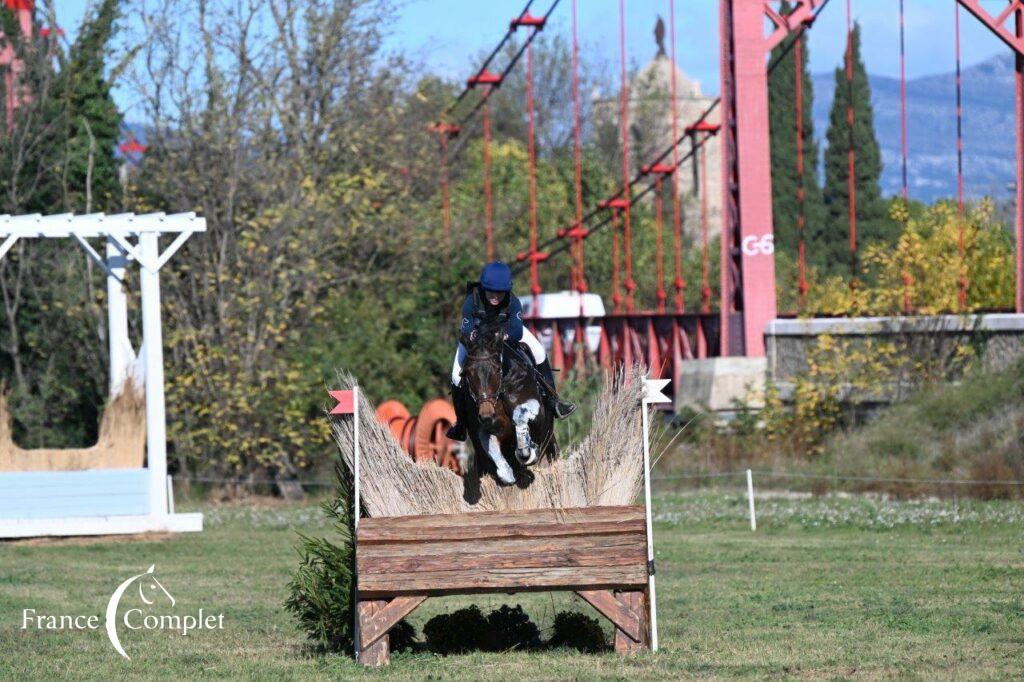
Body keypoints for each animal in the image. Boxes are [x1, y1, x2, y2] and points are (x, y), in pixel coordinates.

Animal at [458, 319, 561, 499]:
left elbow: (523, 419)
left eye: (496, 369)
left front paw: (526, 452)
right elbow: (490, 443)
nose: (486, 415)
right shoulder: (481, 430)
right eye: (467, 373)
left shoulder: (538, 421)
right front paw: (506, 473)